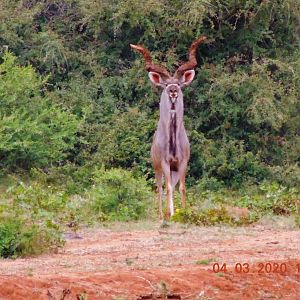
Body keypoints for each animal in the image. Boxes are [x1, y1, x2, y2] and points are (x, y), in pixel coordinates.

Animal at [131, 36, 206, 219]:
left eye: (179, 83)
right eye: (165, 85)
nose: (173, 90)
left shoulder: (182, 163)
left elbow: (182, 188)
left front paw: (184, 212)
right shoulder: (164, 163)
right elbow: (168, 188)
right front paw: (170, 214)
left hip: (173, 171)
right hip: (157, 168)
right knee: (160, 188)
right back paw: (161, 214)